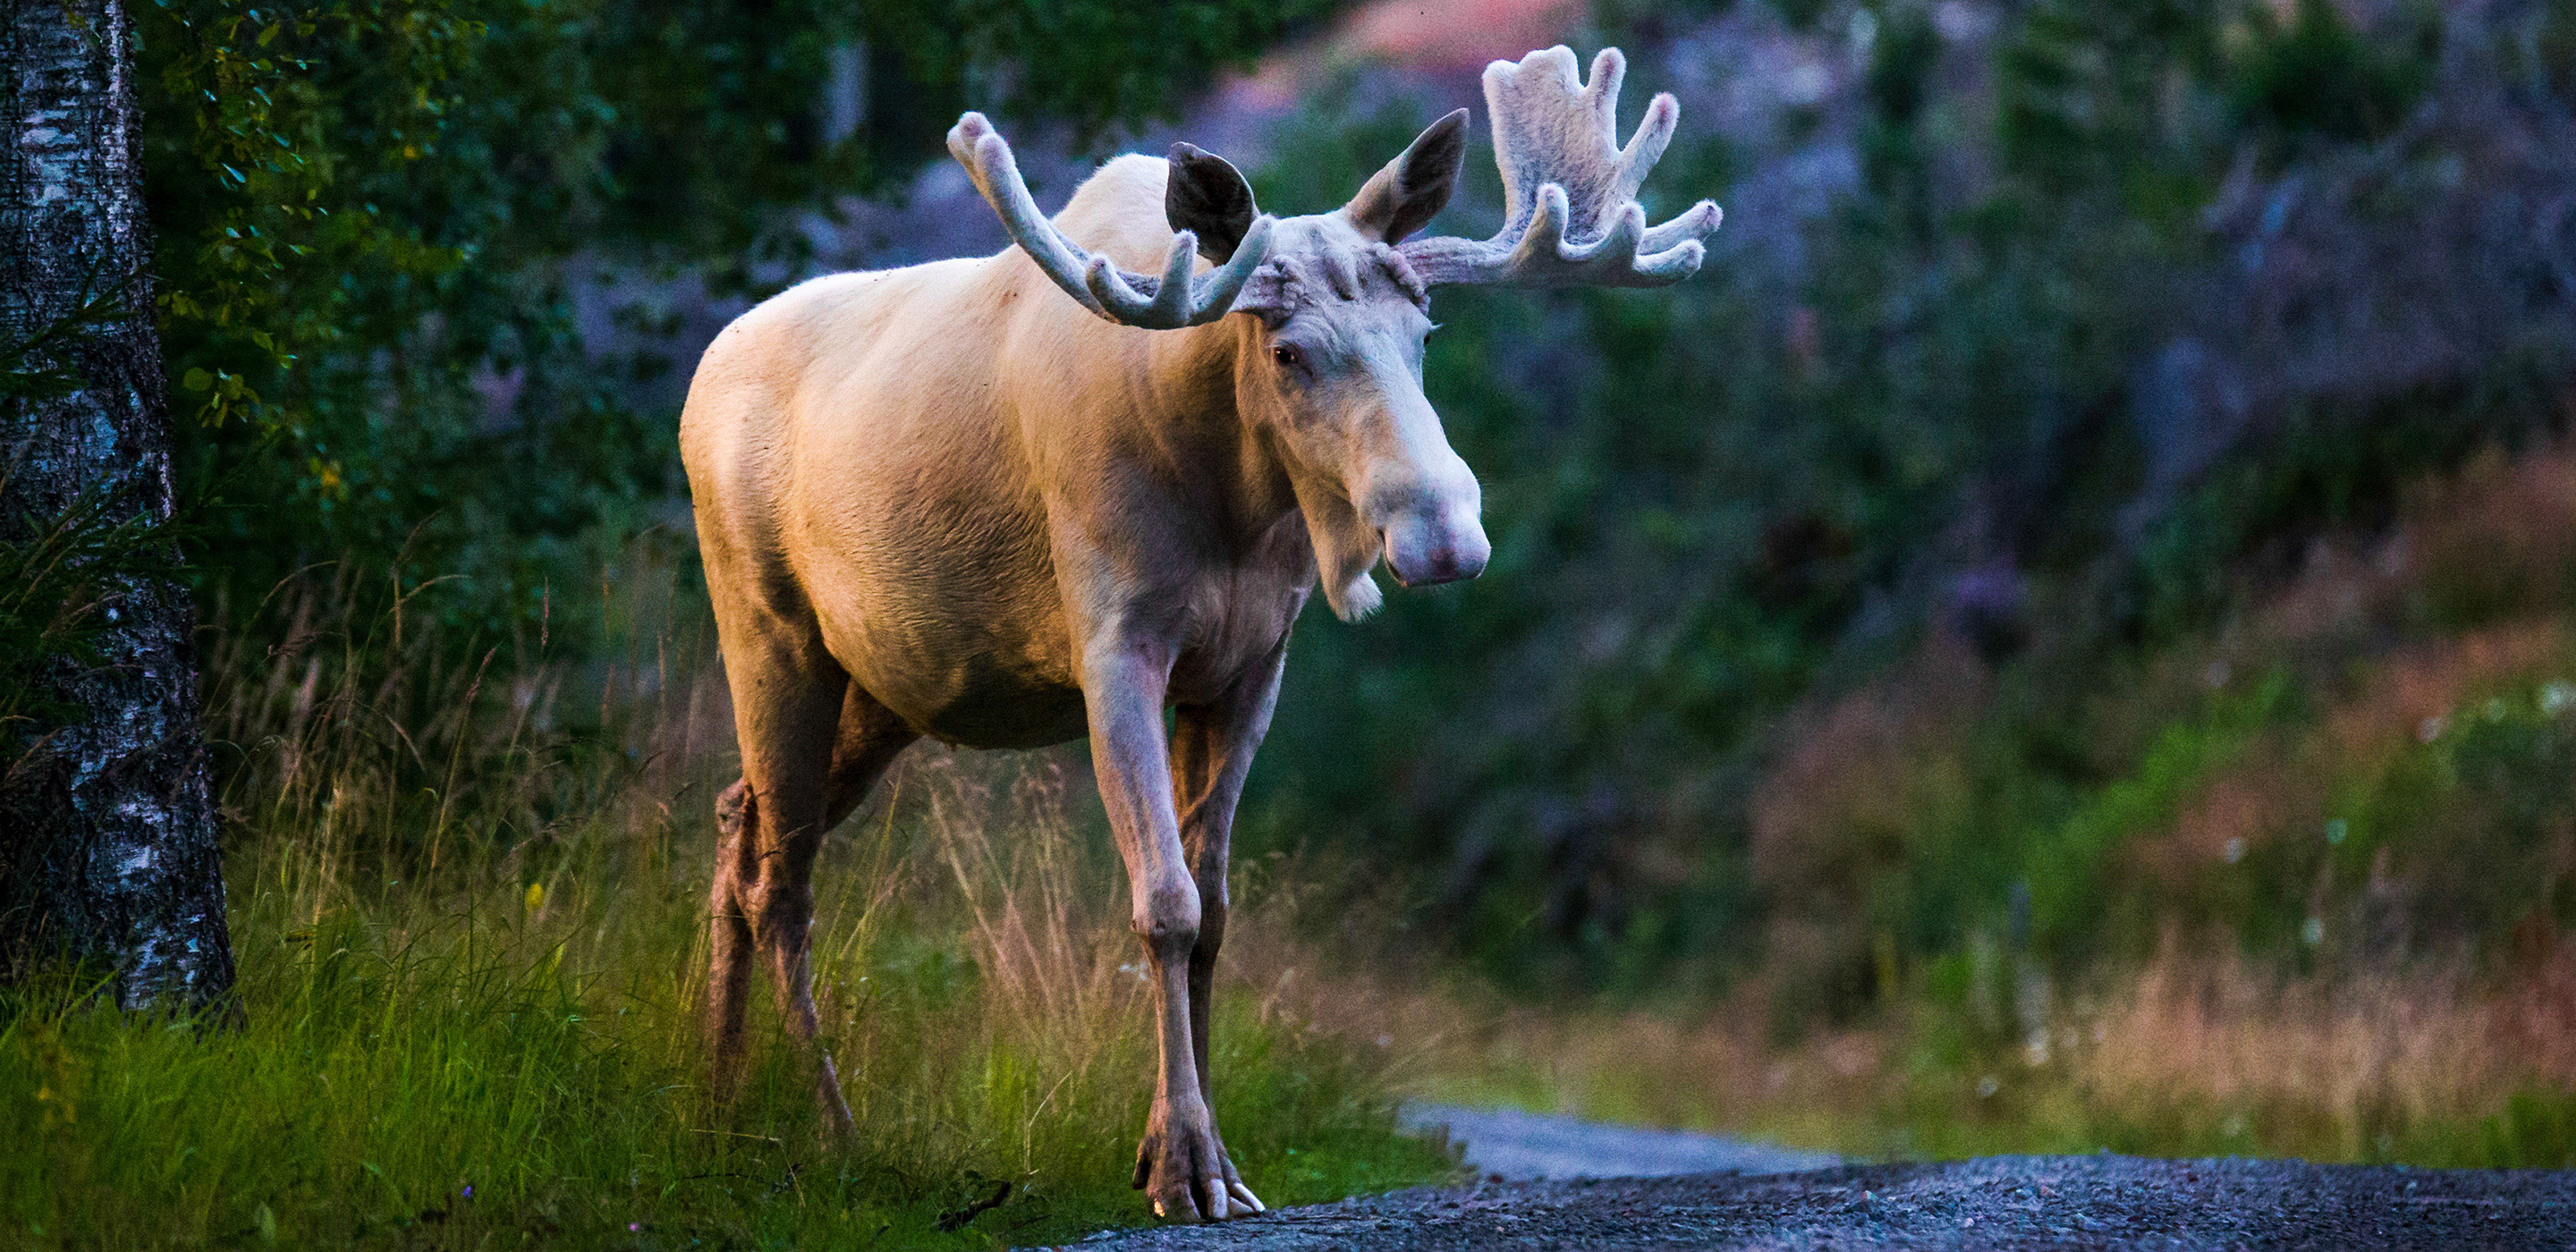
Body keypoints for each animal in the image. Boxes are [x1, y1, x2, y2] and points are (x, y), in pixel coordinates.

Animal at [685, 44, 1720, 1215]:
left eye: (1424, 333)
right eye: (1288, 351)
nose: (1446, 536)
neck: (1228, 495)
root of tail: (699, 378)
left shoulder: (1251, 663)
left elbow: (1218, 905)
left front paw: (1210, 1155)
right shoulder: (1114, 646)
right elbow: (1166, 903)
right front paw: (1182, 1168)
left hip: (886, 685)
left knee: (738, 819)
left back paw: (716, 1106)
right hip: (768, 630)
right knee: (782, 879)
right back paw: (830, 1129)